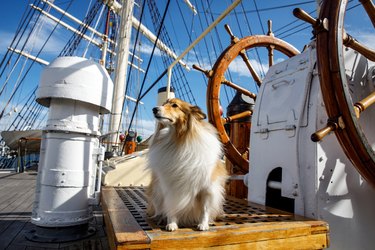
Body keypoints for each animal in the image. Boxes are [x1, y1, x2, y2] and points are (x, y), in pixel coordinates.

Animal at [148, 98, 228, 231]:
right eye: (164, 103)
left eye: (175, 105)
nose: (154, 109)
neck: (178, 139)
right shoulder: (169, 187)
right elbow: (171, 206)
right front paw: (171, 224)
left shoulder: (207, 188)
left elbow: (205, 209)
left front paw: (203, 224)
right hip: (156, 191)